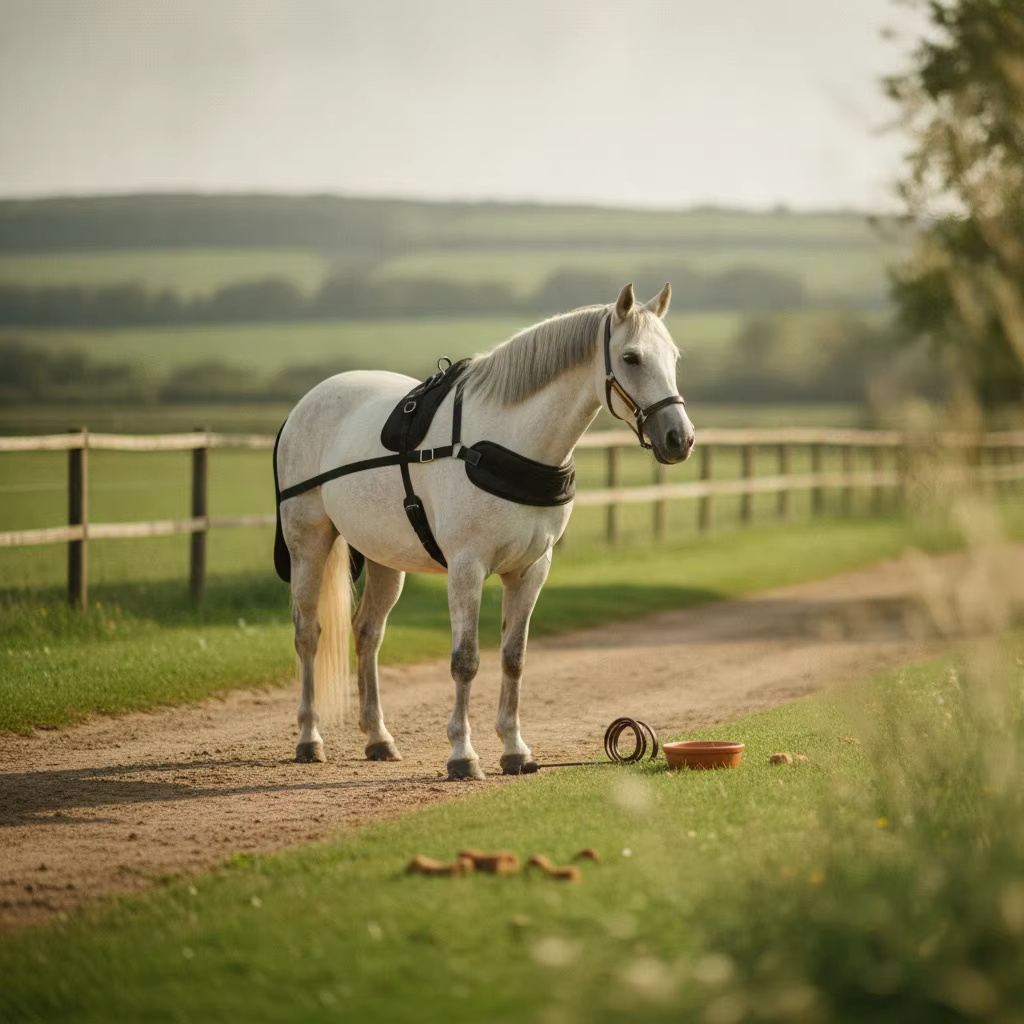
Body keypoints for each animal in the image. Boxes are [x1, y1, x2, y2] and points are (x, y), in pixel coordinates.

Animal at [274, 282, 695, 780]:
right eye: (631, 358)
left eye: (674, 357)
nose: (680, 439)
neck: (505, 443)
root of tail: (307, 403)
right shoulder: (467, 568)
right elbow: (466, 660)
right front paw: (462, 754)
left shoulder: (531, 570)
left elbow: (514, 658)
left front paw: (515, 749)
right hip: (308, 542)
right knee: (308, 633)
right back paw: (309, 738)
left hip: (384, 558)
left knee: (367, 634)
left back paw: (378, 738)